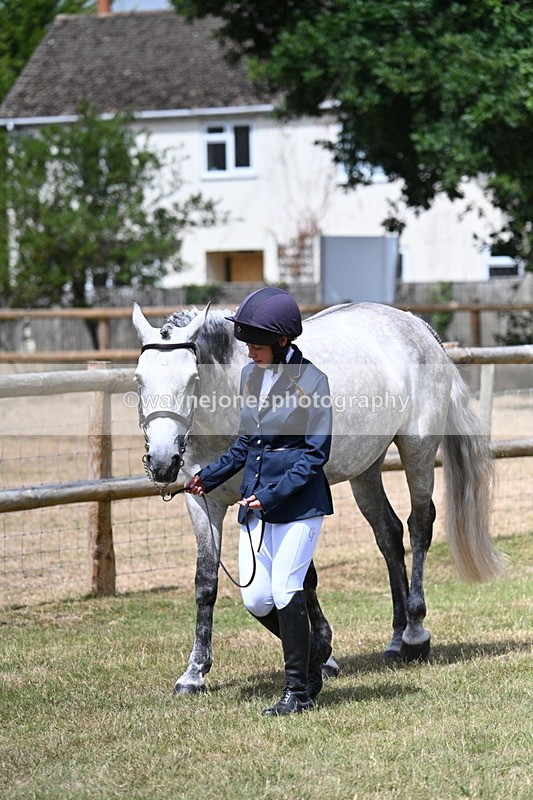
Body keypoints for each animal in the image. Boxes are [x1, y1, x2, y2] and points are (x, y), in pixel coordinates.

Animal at [132, 300, 506, 695]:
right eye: (138, 379)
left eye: (192, 380)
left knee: (420, 525)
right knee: (389, 535)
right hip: (366, 469)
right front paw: (194, 672)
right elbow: (206, 582)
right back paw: (395, 638)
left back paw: (415, 635)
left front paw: (322, 654)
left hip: (417, 450)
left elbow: (302, 578)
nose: (161, 462)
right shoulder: (204, 503)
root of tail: (417, 325)